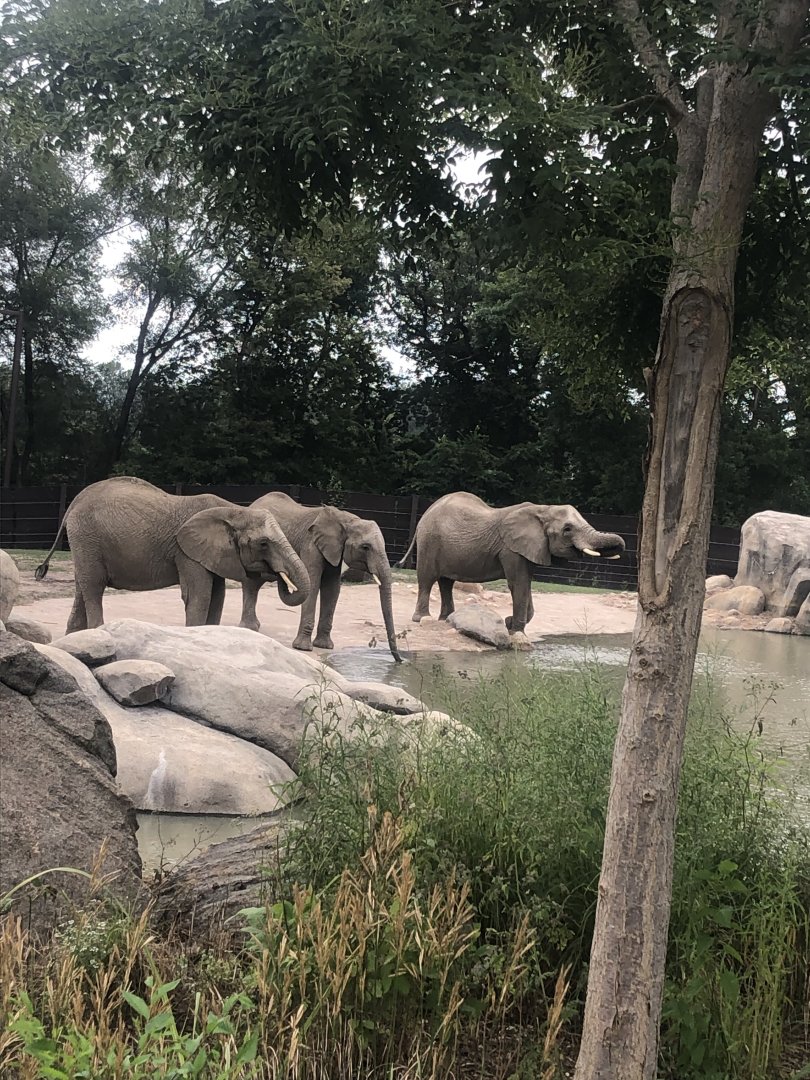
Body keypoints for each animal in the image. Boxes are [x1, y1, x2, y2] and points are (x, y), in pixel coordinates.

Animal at [35, 476, 311, 634]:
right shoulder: (186, 551)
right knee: (93, 586)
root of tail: (75, 501)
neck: (234, 510)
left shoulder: (210, 553)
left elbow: (217, 595)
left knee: (82, 585)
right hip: (87, 536)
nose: (280, 577)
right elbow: (199, 595)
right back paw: (95, 633)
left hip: (85, 542)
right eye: (264, 544)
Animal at [239, 491, 403, 661]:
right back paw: (249, 628)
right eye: (366, 547)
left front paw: (324, 646)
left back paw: (253, 627)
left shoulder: (334, 551)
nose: (399, 661)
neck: (346, 519)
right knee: (251, 583)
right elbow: (314, 583)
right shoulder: (311, 546)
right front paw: (303, 648)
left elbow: (332, 589)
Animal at [398, 491, 625, 637]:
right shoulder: (511, 549)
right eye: (567, 529)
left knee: (446, 582)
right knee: (427, 578)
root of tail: (428, 511)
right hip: (430, 541)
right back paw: (422, 619)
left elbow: (526, 583)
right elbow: (518, 583)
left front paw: (509, 624)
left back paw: (445, 619)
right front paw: (515, 631)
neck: (542, 509)